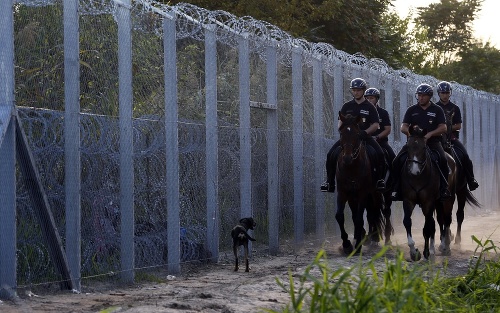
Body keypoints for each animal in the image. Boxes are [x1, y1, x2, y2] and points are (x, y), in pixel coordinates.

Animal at [334, 112, 384, 254]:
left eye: (356, 134)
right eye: (341, 133)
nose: (347, 158)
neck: (351, 167)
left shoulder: (363, 193)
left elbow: (359, 218)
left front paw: (357, 245)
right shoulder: (343, 192)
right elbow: (340, 216)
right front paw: (346, 244)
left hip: (375, 193)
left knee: (374, 212)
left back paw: (373, 238)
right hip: (353, 196)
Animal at [400, 125, 456, 260]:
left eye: (424, 147)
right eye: (408, 147)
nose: (414, 170)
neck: (418, 177)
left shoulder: (428, 202)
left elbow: (427, 227)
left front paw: (426, 252)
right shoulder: (408, 200)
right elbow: (407, 221)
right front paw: (414, 252)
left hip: (448, 200)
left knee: (446, 220)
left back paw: (446, 247)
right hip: (438, 202)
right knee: (437, 221)